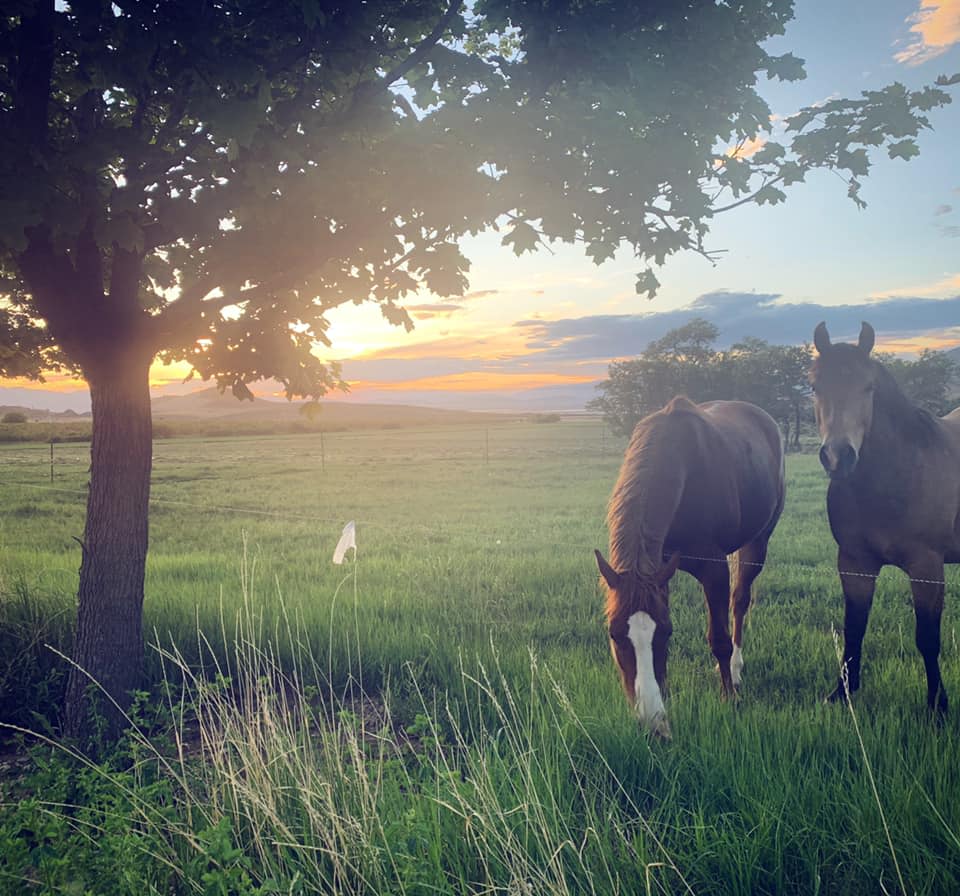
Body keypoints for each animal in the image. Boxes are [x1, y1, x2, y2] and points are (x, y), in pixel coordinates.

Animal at [592, 396, 788, 740]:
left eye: (666, 633)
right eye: (614, 635)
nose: (652, 727)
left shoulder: (715, 570)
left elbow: (719, 638)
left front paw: (729, 697)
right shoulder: (659, 572)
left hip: (758, 542)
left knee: (740, 601)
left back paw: (735, 669)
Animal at [808, 322, 960, 712]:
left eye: (869, 386)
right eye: (815, 386)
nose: (838, 457)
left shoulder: (926, 568)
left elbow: (927, 637)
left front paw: (937, 705)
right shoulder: (854, 563)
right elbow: (855, 627)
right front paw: (843, 692)